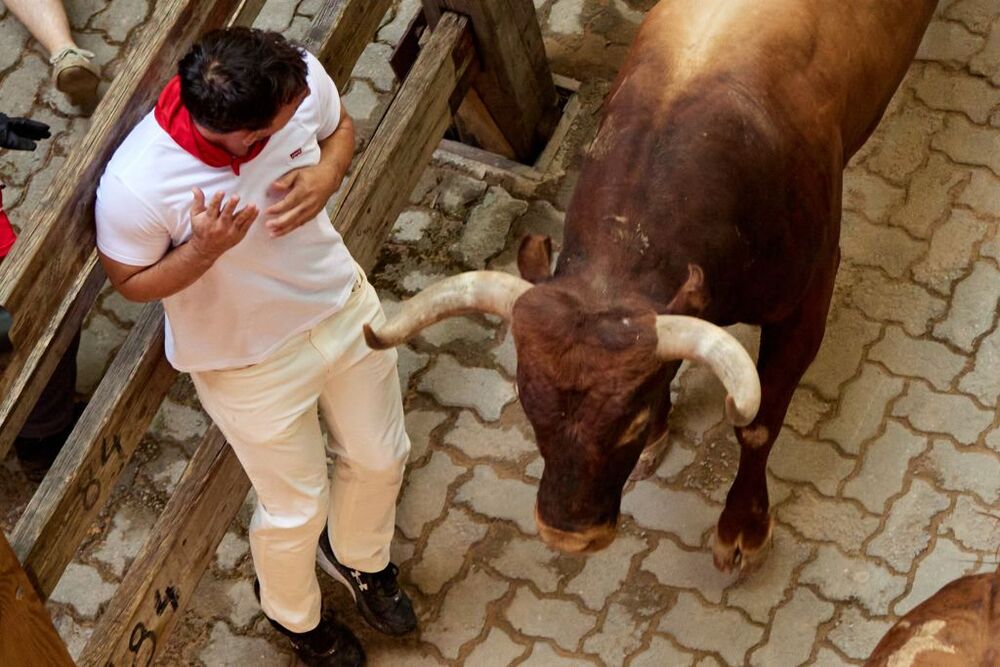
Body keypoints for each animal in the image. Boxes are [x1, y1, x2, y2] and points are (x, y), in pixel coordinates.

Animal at [366, 1, 936, 576]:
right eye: (528, 405)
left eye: (630, 423)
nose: (568, 535)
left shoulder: (807, 300)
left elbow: (757, 426)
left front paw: (743, 527)